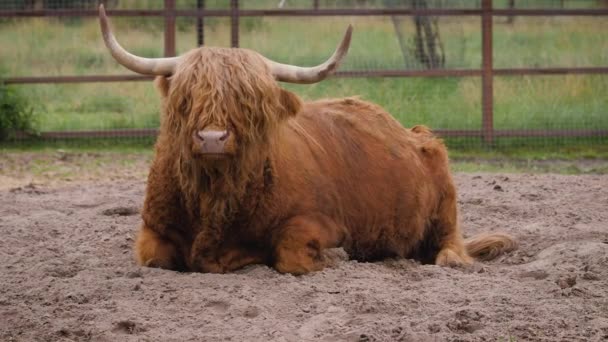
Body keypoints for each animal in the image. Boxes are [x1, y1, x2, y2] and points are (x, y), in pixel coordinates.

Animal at [97, 4, 516, 274]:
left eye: (249, 103)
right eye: (187, 97)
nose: (212, 138)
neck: (215, 201)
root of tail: (412, 133)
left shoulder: (319, 222)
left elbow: (291, 257)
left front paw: (335, 258)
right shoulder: (153, 231)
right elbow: (153, 258)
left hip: (444, 198)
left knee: (449, 243)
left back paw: (451, 259)